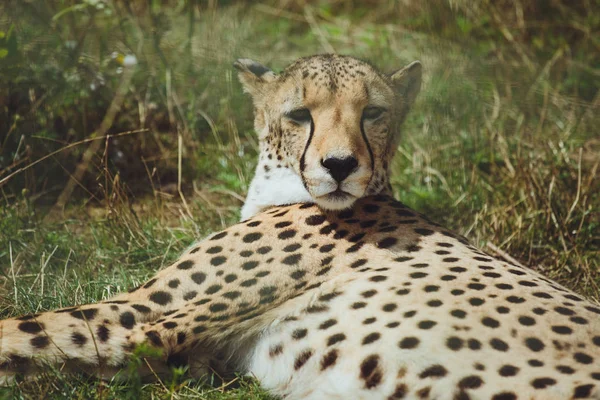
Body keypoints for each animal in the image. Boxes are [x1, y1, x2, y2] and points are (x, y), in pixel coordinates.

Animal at [1, 54, 600, 400]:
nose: (339, 165)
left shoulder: (140, 322)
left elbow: (18, 330)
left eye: (373, 113)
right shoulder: (191, 352)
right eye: (299, 115)